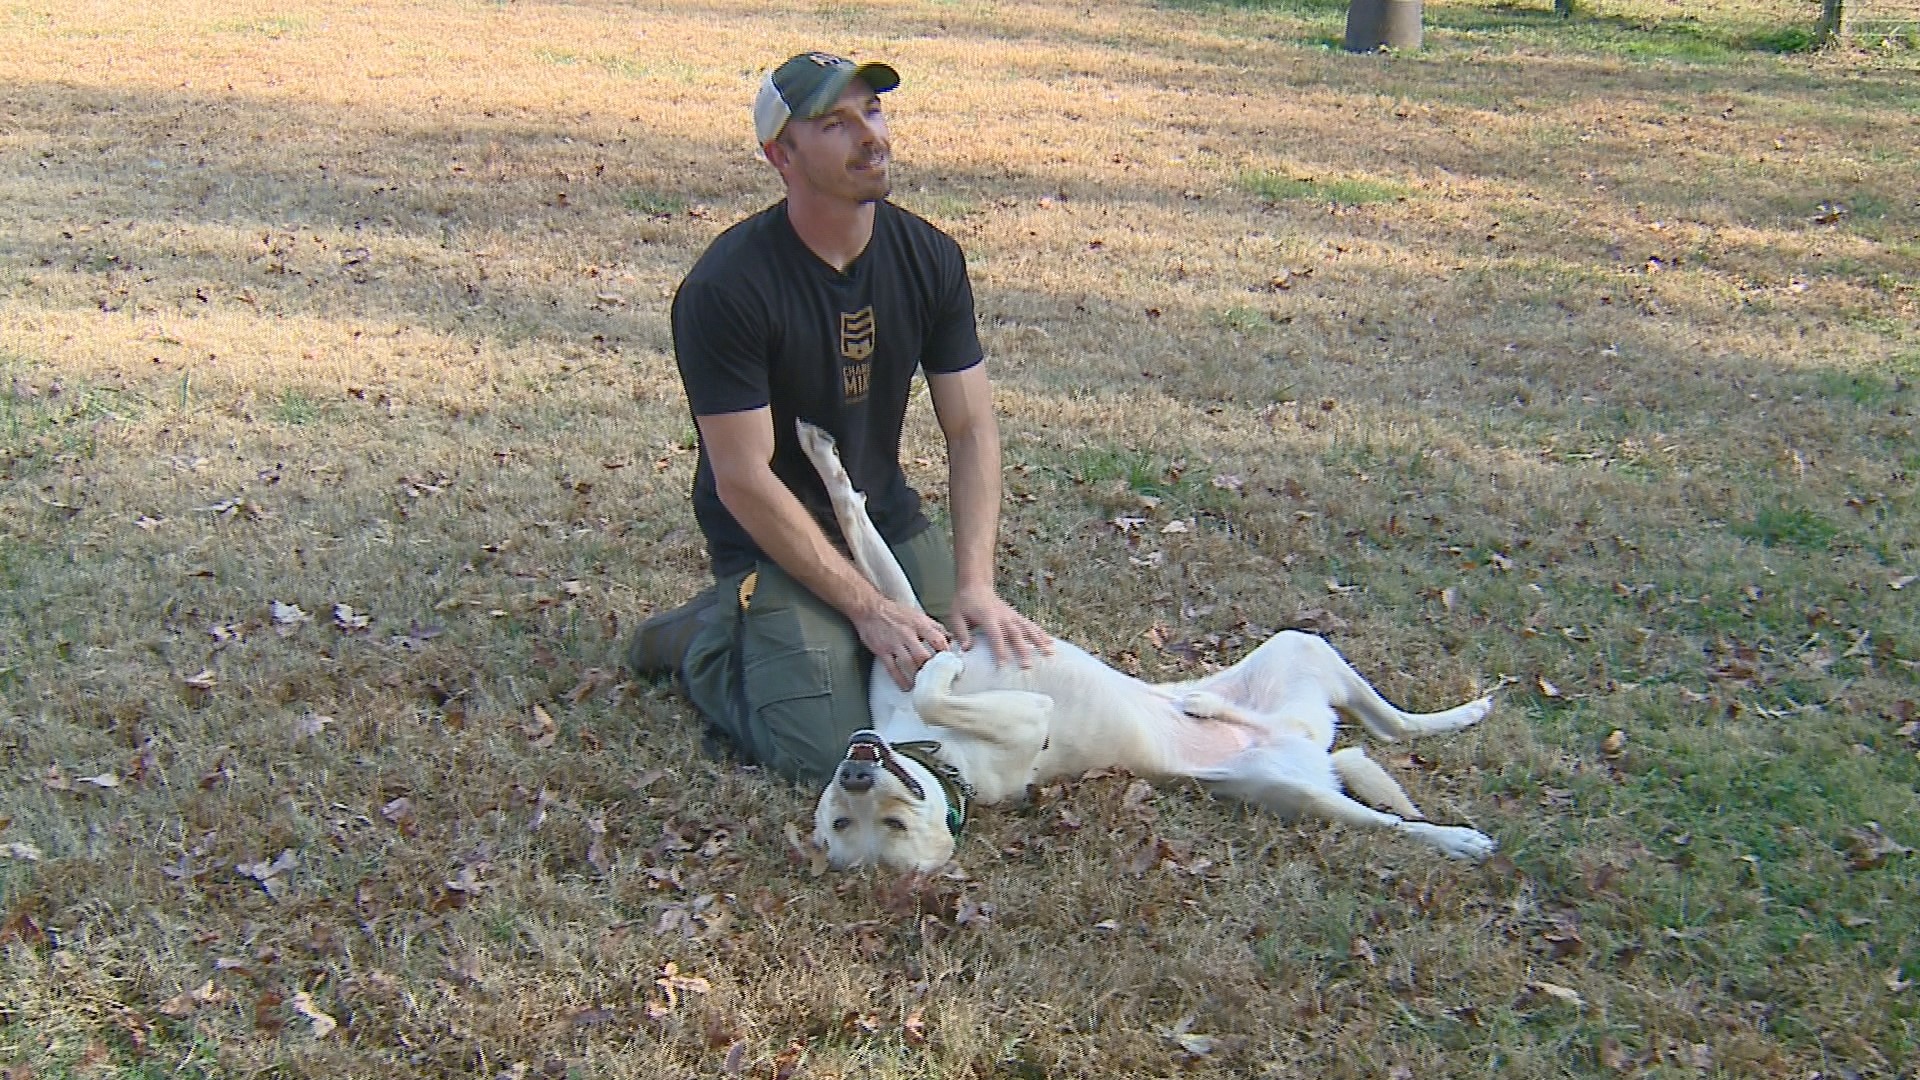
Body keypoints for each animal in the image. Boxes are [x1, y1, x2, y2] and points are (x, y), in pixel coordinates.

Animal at [798, 417, 1497, 868]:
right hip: (1296, 794)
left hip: (1298, 644)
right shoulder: (1020, 721)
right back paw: (1457, 839)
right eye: (845, 821)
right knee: (1386, 813)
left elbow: (859, 527)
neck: (936, 756)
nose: (855, 769)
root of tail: (1308, 743)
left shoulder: (908, 631)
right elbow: (938, 686)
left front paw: (819, 452)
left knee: (1394, 724)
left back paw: (1468, 711)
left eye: (883, 819)